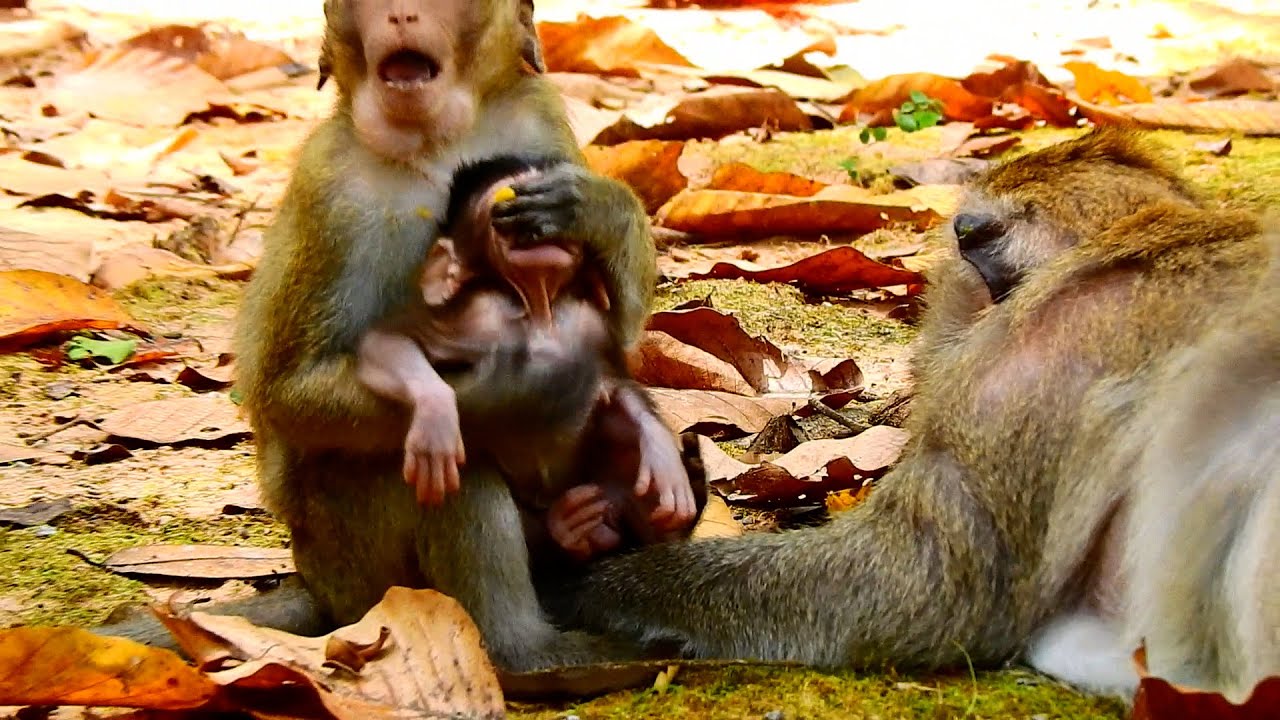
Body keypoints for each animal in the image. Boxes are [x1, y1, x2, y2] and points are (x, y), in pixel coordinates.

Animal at [94, 0, 682, 673]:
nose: (401, 13)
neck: (433, 144)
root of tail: (320, 588)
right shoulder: (332, 193)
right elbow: (290, 393)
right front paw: (530, 393)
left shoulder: (539, 125)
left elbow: (618, 342)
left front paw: (601, 210)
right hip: (357, 562)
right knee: (440, 457)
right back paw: (524, 645)